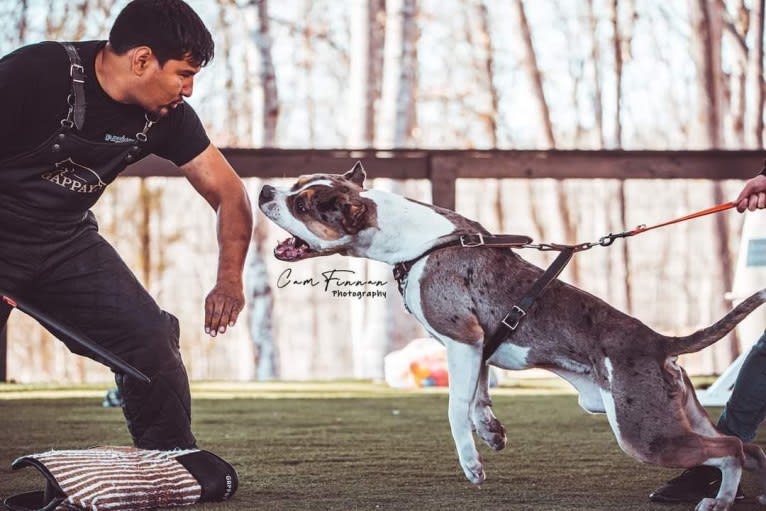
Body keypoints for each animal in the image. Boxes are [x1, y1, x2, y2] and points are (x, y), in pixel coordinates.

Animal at [260, 163, 766, 511]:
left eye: (302, 205)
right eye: (295, 184)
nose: (265, 189)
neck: (418, 241)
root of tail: (662, 342)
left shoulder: (462, 340)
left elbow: (454, 408)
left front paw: (472, 464)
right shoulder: (478, 346)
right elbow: (477, 398)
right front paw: (491, 432)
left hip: (645, 434)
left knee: (731, 450)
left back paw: (720, 500)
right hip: (676, 418)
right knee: (745, 447)